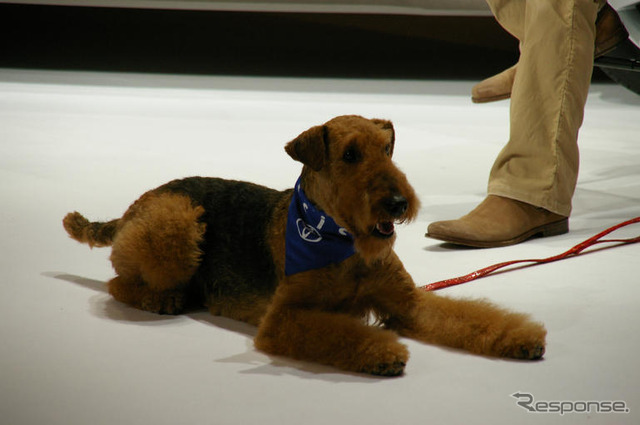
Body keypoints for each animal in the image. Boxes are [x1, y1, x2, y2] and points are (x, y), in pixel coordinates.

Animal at [63, 115, 544, 374]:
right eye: (350, 155)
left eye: (387, 149)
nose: (398, 202)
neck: (341, 243)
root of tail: (134, 206)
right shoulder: (284, 318)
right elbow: (340, 332)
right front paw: (384, 352)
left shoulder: (407, 303)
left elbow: (470, 318)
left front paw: (523, 338)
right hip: (178, 224)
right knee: (119, 283)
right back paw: (164, 300)